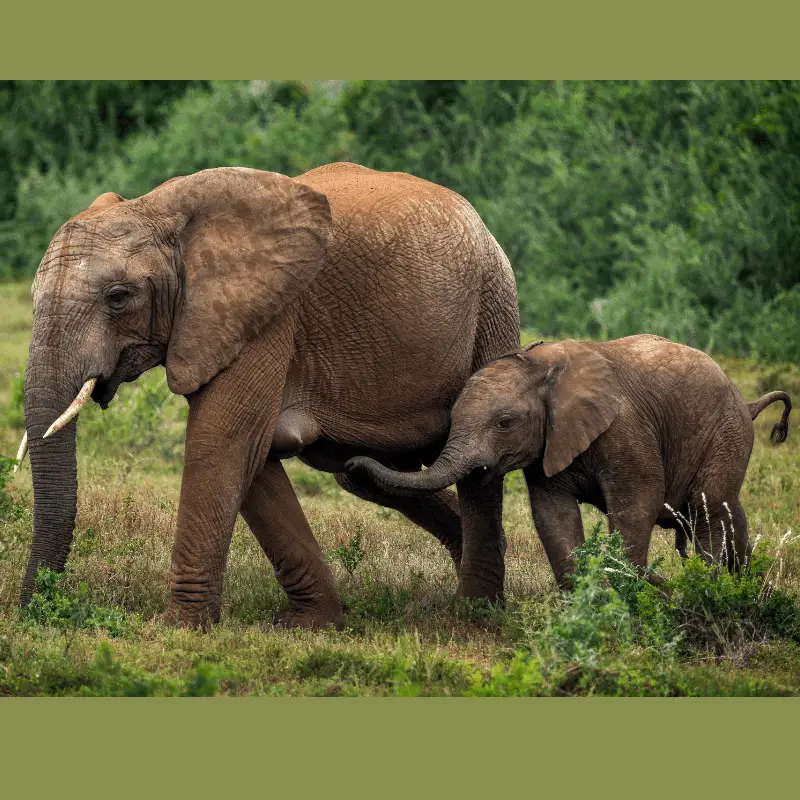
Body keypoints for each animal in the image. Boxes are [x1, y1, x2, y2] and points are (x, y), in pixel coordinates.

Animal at [18, 164, 520, 632]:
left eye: (118, 297)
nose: (34, 609)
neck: (157, 208)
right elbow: (252, 455)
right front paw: (312, 625)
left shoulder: (267, 314)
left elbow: (222, 439)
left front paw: (179, 628)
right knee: (363, 474)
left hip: (493, 302)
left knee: (476, 469)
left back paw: (473, 614)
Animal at [346, 332, 792, 588]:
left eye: (505, 423)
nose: (351, 466)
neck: (541, 367)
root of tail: (747, 403)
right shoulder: (547, 445)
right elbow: (552, 513)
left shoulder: (625, 427)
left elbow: (637, 504)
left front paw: (630, 593)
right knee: (725, 512)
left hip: (725, 433)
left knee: (708, 510)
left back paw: (712, 586)